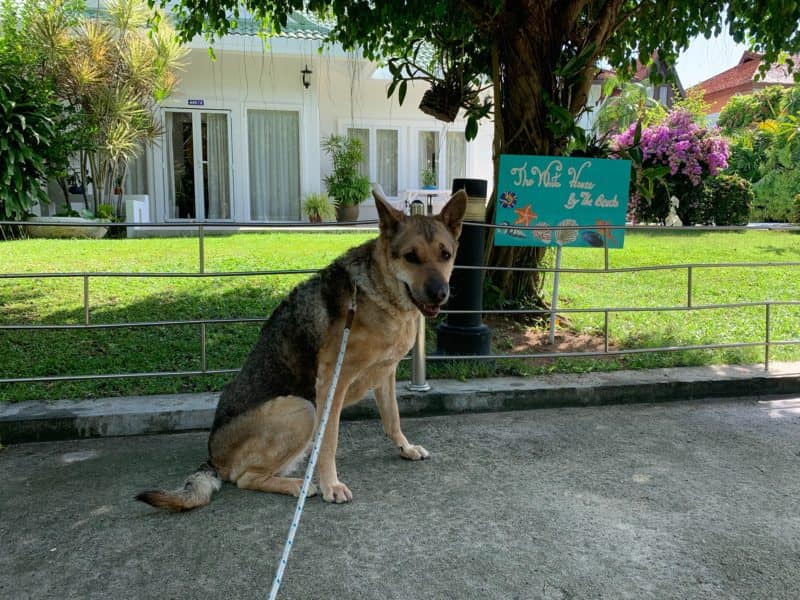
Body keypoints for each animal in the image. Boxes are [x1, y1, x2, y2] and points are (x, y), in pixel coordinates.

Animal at [134, 190, 466, 508]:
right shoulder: (332, 384)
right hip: (303, 408)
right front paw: (332, 485)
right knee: (245, 478)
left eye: (445, 255)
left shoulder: (385, 374)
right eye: (411, 257)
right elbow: (329, 442)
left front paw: (404, 447)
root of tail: (213, 458)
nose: (440, 294)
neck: (381, 291)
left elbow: (392, 418)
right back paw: (299, 486)